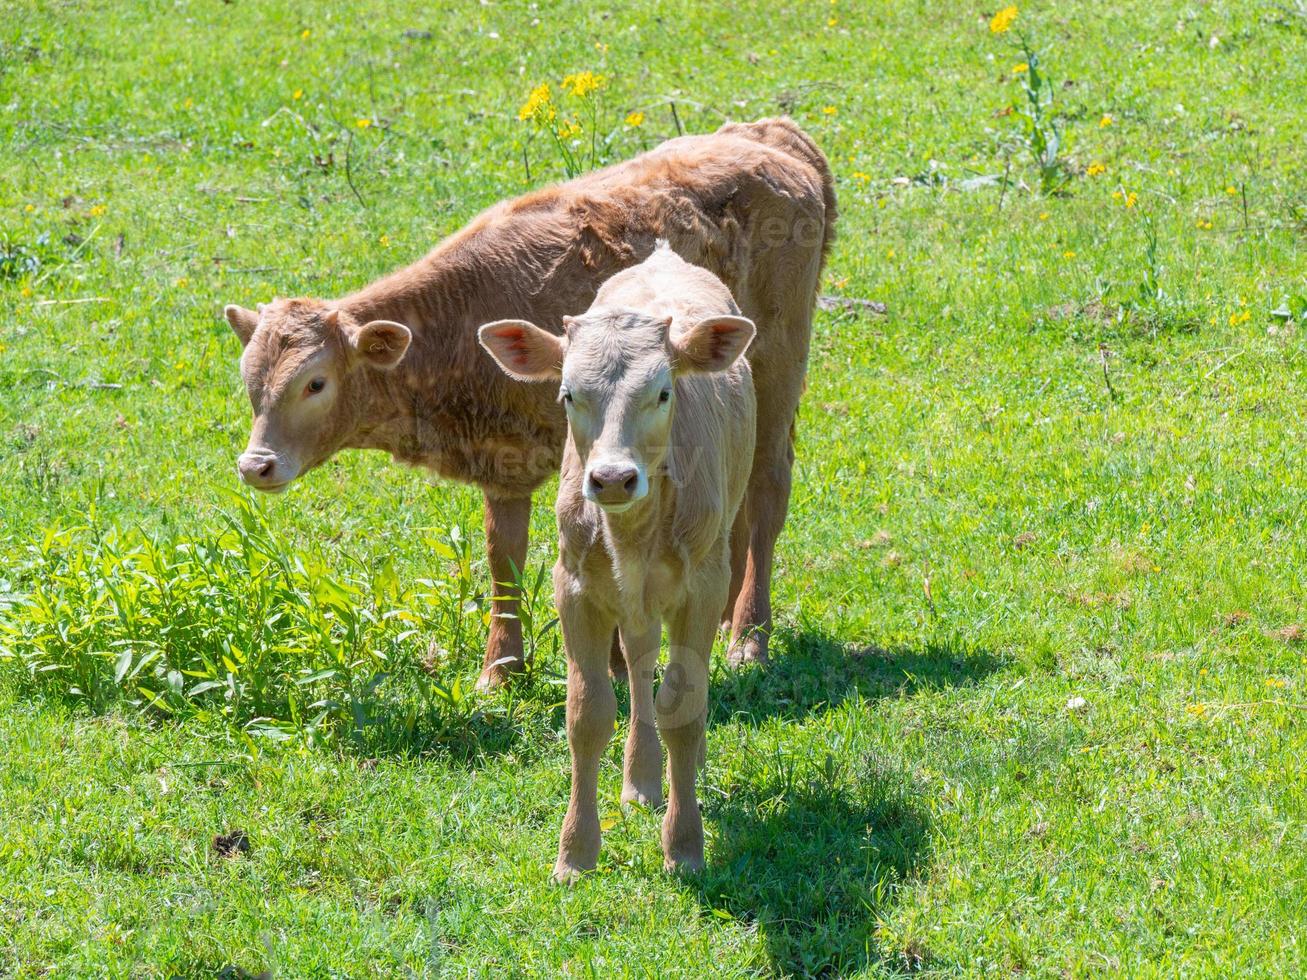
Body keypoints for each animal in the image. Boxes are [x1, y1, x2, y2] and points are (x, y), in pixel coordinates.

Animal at [224, 116, 836, 689]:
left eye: (315, 383)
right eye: (250, 379)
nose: (257, 466)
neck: (459, 318)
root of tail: (773, 137)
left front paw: (611, 666)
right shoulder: (504, 463)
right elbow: (505, 556)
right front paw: (501, 669)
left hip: (779, 368)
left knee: (766, 490)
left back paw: (749, 640)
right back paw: (729, 618)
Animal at [480, 244, 758, 883]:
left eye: (662, 392)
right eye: (567, 394)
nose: (611, 478)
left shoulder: (705, 586)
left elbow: (683, 706)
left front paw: (684, 846)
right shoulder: (575, 585)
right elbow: (587, 714)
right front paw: (575, 853)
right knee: (638, 660)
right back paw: (640, 779)